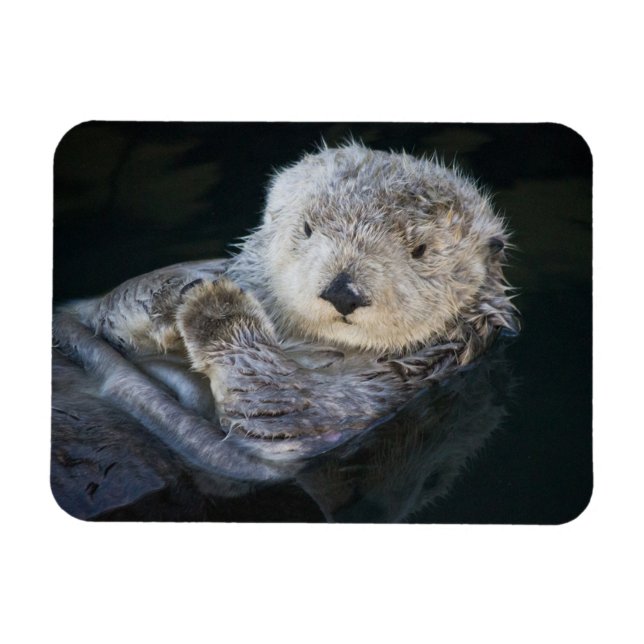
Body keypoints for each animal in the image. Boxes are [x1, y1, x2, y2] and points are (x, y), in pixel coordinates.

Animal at [53, 143, 518, 470]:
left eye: (420, 250)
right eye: (308, 228)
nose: (344, 291)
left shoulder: (369, 398)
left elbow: (280, 407)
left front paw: (216, 306)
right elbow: (106, 313)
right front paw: (178, 292)